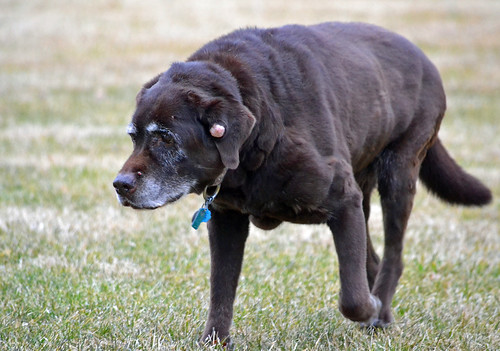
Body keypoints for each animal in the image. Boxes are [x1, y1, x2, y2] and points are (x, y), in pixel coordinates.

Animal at [113, 22, 492, 346]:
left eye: (165, 138)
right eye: (133, 137)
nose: (120, 185)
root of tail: (425, 59)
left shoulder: (343, 201)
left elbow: (353, 298)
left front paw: (369, 309)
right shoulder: (226, 219)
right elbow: (221, 287)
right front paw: (215, 341)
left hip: (398, 173)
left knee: (392, 256)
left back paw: (381, 312)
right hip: (365, 191)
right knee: (372, 258)